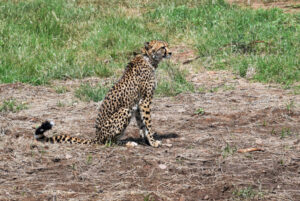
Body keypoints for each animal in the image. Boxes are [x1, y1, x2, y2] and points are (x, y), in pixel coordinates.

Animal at [34, 40, 171, 148]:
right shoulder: (145, 101)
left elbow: (142, 125)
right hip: (124, 110)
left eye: (167, 45)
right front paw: (153, 142)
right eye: (162, 47)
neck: (149, 59)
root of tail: (97, 136)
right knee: (108, 141)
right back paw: (127, 143)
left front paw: (147, 141)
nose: (170, 53)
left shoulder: (138, 104)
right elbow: (148, 124)